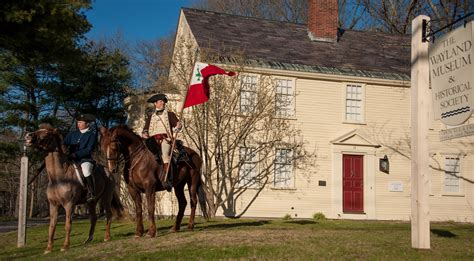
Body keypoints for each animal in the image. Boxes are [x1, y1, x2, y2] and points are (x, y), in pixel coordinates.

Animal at [25, 124, 123, 252]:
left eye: (47, 134)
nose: (28, 136)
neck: (58, 178)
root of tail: (109, 171)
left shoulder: (69, 204)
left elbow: (68, 225)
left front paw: (65, 246)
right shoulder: (53, 205)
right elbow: (52, 226)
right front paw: (48, 248)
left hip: (106, 198)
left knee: (108, 215)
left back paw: (107, 237)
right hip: (92, 202)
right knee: (93, 218)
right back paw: (88, 239)